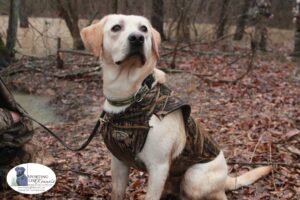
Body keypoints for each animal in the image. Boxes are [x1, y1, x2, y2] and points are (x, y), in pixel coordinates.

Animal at [80, 14, 272, 200]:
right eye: (116, 28)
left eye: (144, 29)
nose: (137, 38)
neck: (132, 96)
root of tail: (226, 179)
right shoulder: (118, 162)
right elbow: (117, 193)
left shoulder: (158, 167)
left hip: (193, 178)